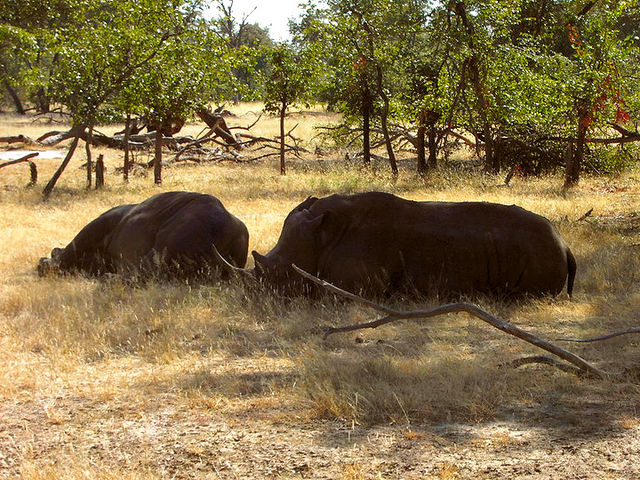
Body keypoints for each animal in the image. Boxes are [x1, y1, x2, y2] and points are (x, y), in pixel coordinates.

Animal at [245, 192, 576, 298]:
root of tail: (565, 243)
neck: (321, 236)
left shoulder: (356, 287)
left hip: (541, 250)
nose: (259, 295)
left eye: (280, 273)